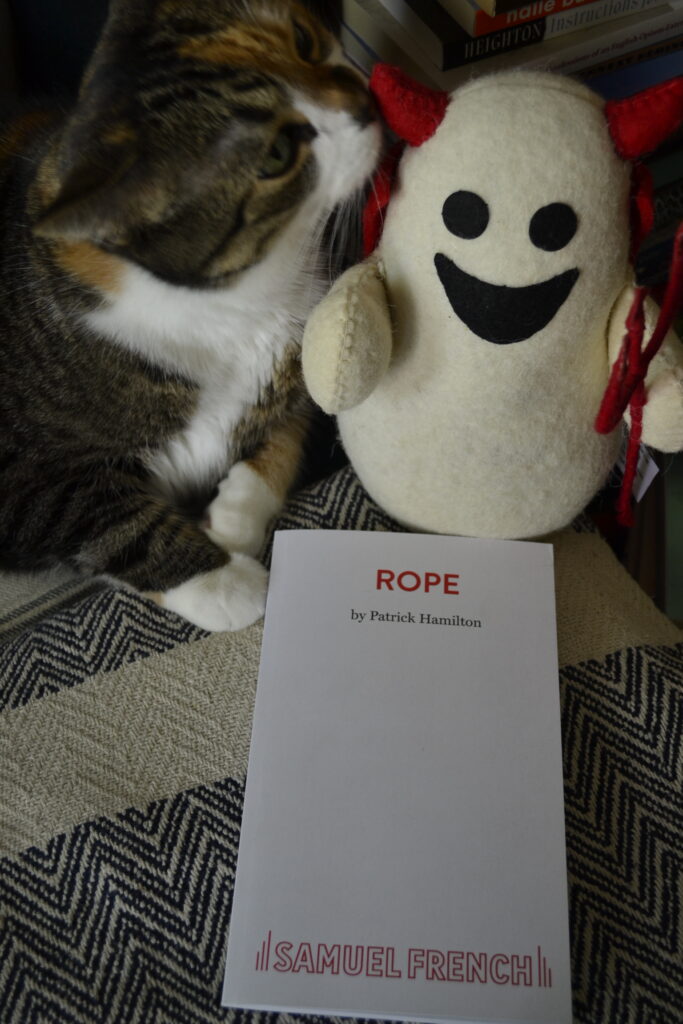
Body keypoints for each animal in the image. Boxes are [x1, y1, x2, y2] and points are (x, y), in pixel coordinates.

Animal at [0, 0, 378, 626]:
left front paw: (234, 517)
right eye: (277, 155)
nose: (369, 105)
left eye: (304, 41)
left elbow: (287, 433)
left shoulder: (297, 361)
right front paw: (229, 585)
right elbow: (105, 517)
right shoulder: (24, 479)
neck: (234, 300)